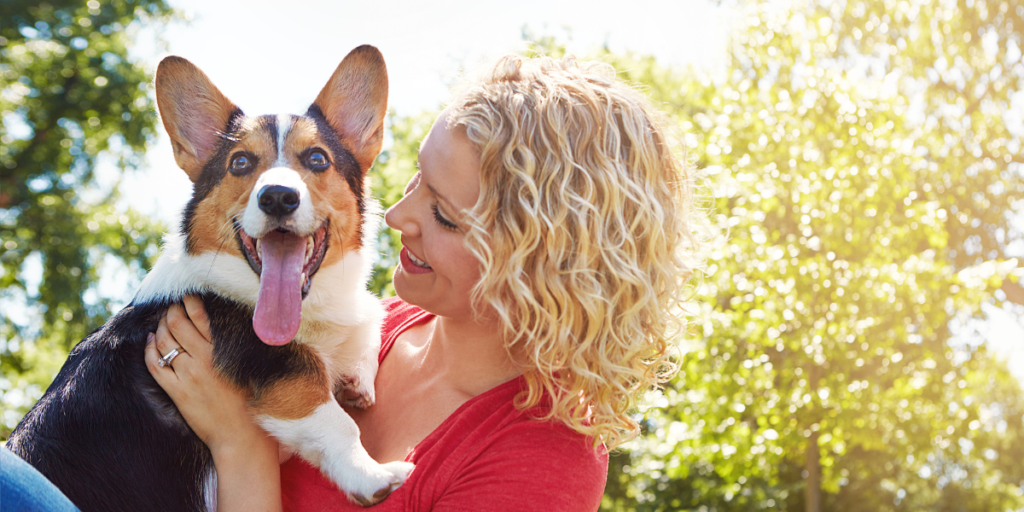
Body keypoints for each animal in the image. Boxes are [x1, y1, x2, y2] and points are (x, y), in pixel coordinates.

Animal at [7, 45, 415, 512]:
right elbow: (328, 412)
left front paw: (355, 380)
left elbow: (366, 332)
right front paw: (373, 476)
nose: (278, 197)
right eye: (241, 162)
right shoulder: (269, 358)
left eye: (317, 159)